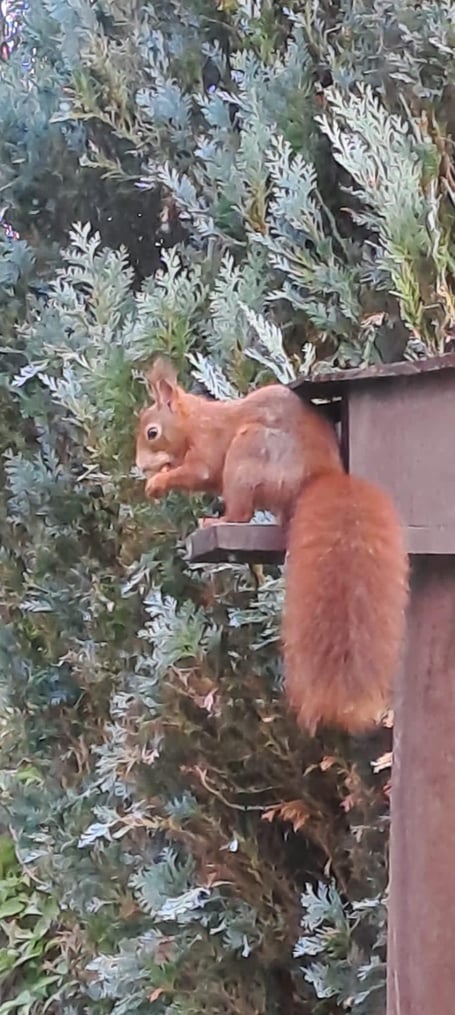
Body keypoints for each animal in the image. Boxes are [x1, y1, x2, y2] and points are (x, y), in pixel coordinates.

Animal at [135, 358, 409, 734]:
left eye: (152, 432)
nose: (138, 466)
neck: (194, 422)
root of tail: (322, 473)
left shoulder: (208, 446)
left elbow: (200, 471)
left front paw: (159, 481)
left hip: (248, 454)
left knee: (241, 512)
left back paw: (217, 521)